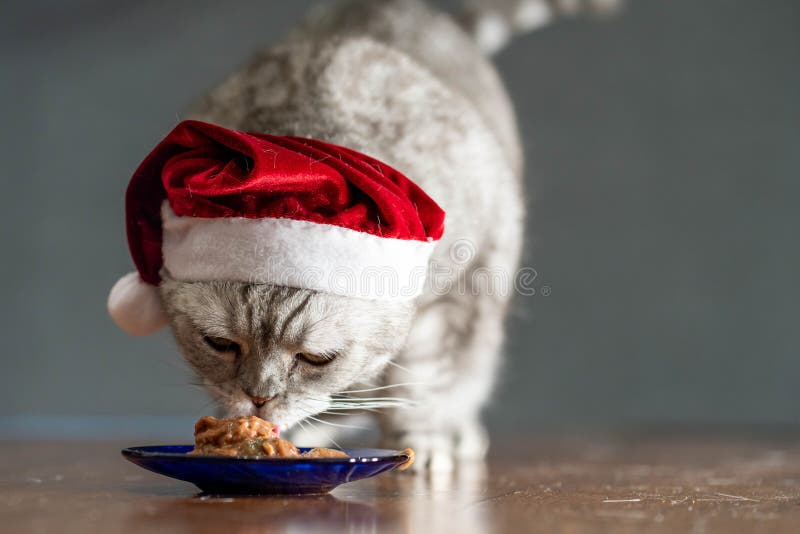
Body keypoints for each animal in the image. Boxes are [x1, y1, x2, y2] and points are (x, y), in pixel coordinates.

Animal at [158, 0, 620, 472]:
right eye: (219, 343)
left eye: (315, 358)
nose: (259, 399)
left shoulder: (456, 296)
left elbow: (425, 383)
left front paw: (426, 437)